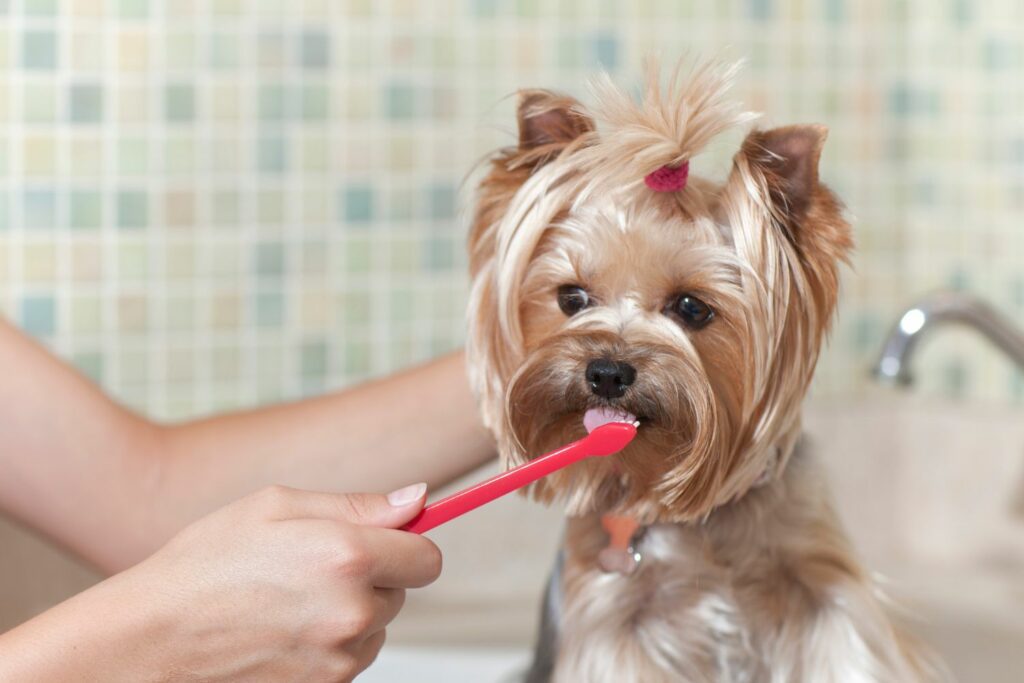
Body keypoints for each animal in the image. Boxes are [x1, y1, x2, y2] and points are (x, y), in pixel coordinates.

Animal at [464, 60, 937, 683]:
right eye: (571, 298)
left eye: (691, 308)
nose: (607, 371)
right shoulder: (614, 623)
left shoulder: (824, 591)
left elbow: (846, 649)